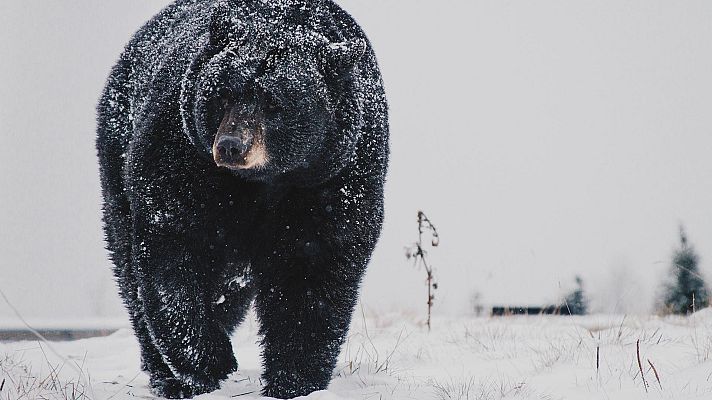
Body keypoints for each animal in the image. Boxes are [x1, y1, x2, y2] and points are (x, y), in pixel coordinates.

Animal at [95, 0, 388, 398]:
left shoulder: (333, 179)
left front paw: (295, 379)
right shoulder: (179, 158)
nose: (231, 146)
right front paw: (208, 360)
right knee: (129, 270)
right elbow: (172, 253)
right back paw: (166, 375)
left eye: (275, 102)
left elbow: (313, 274)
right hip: (116, 157)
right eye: (222, 94)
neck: (261, 184)